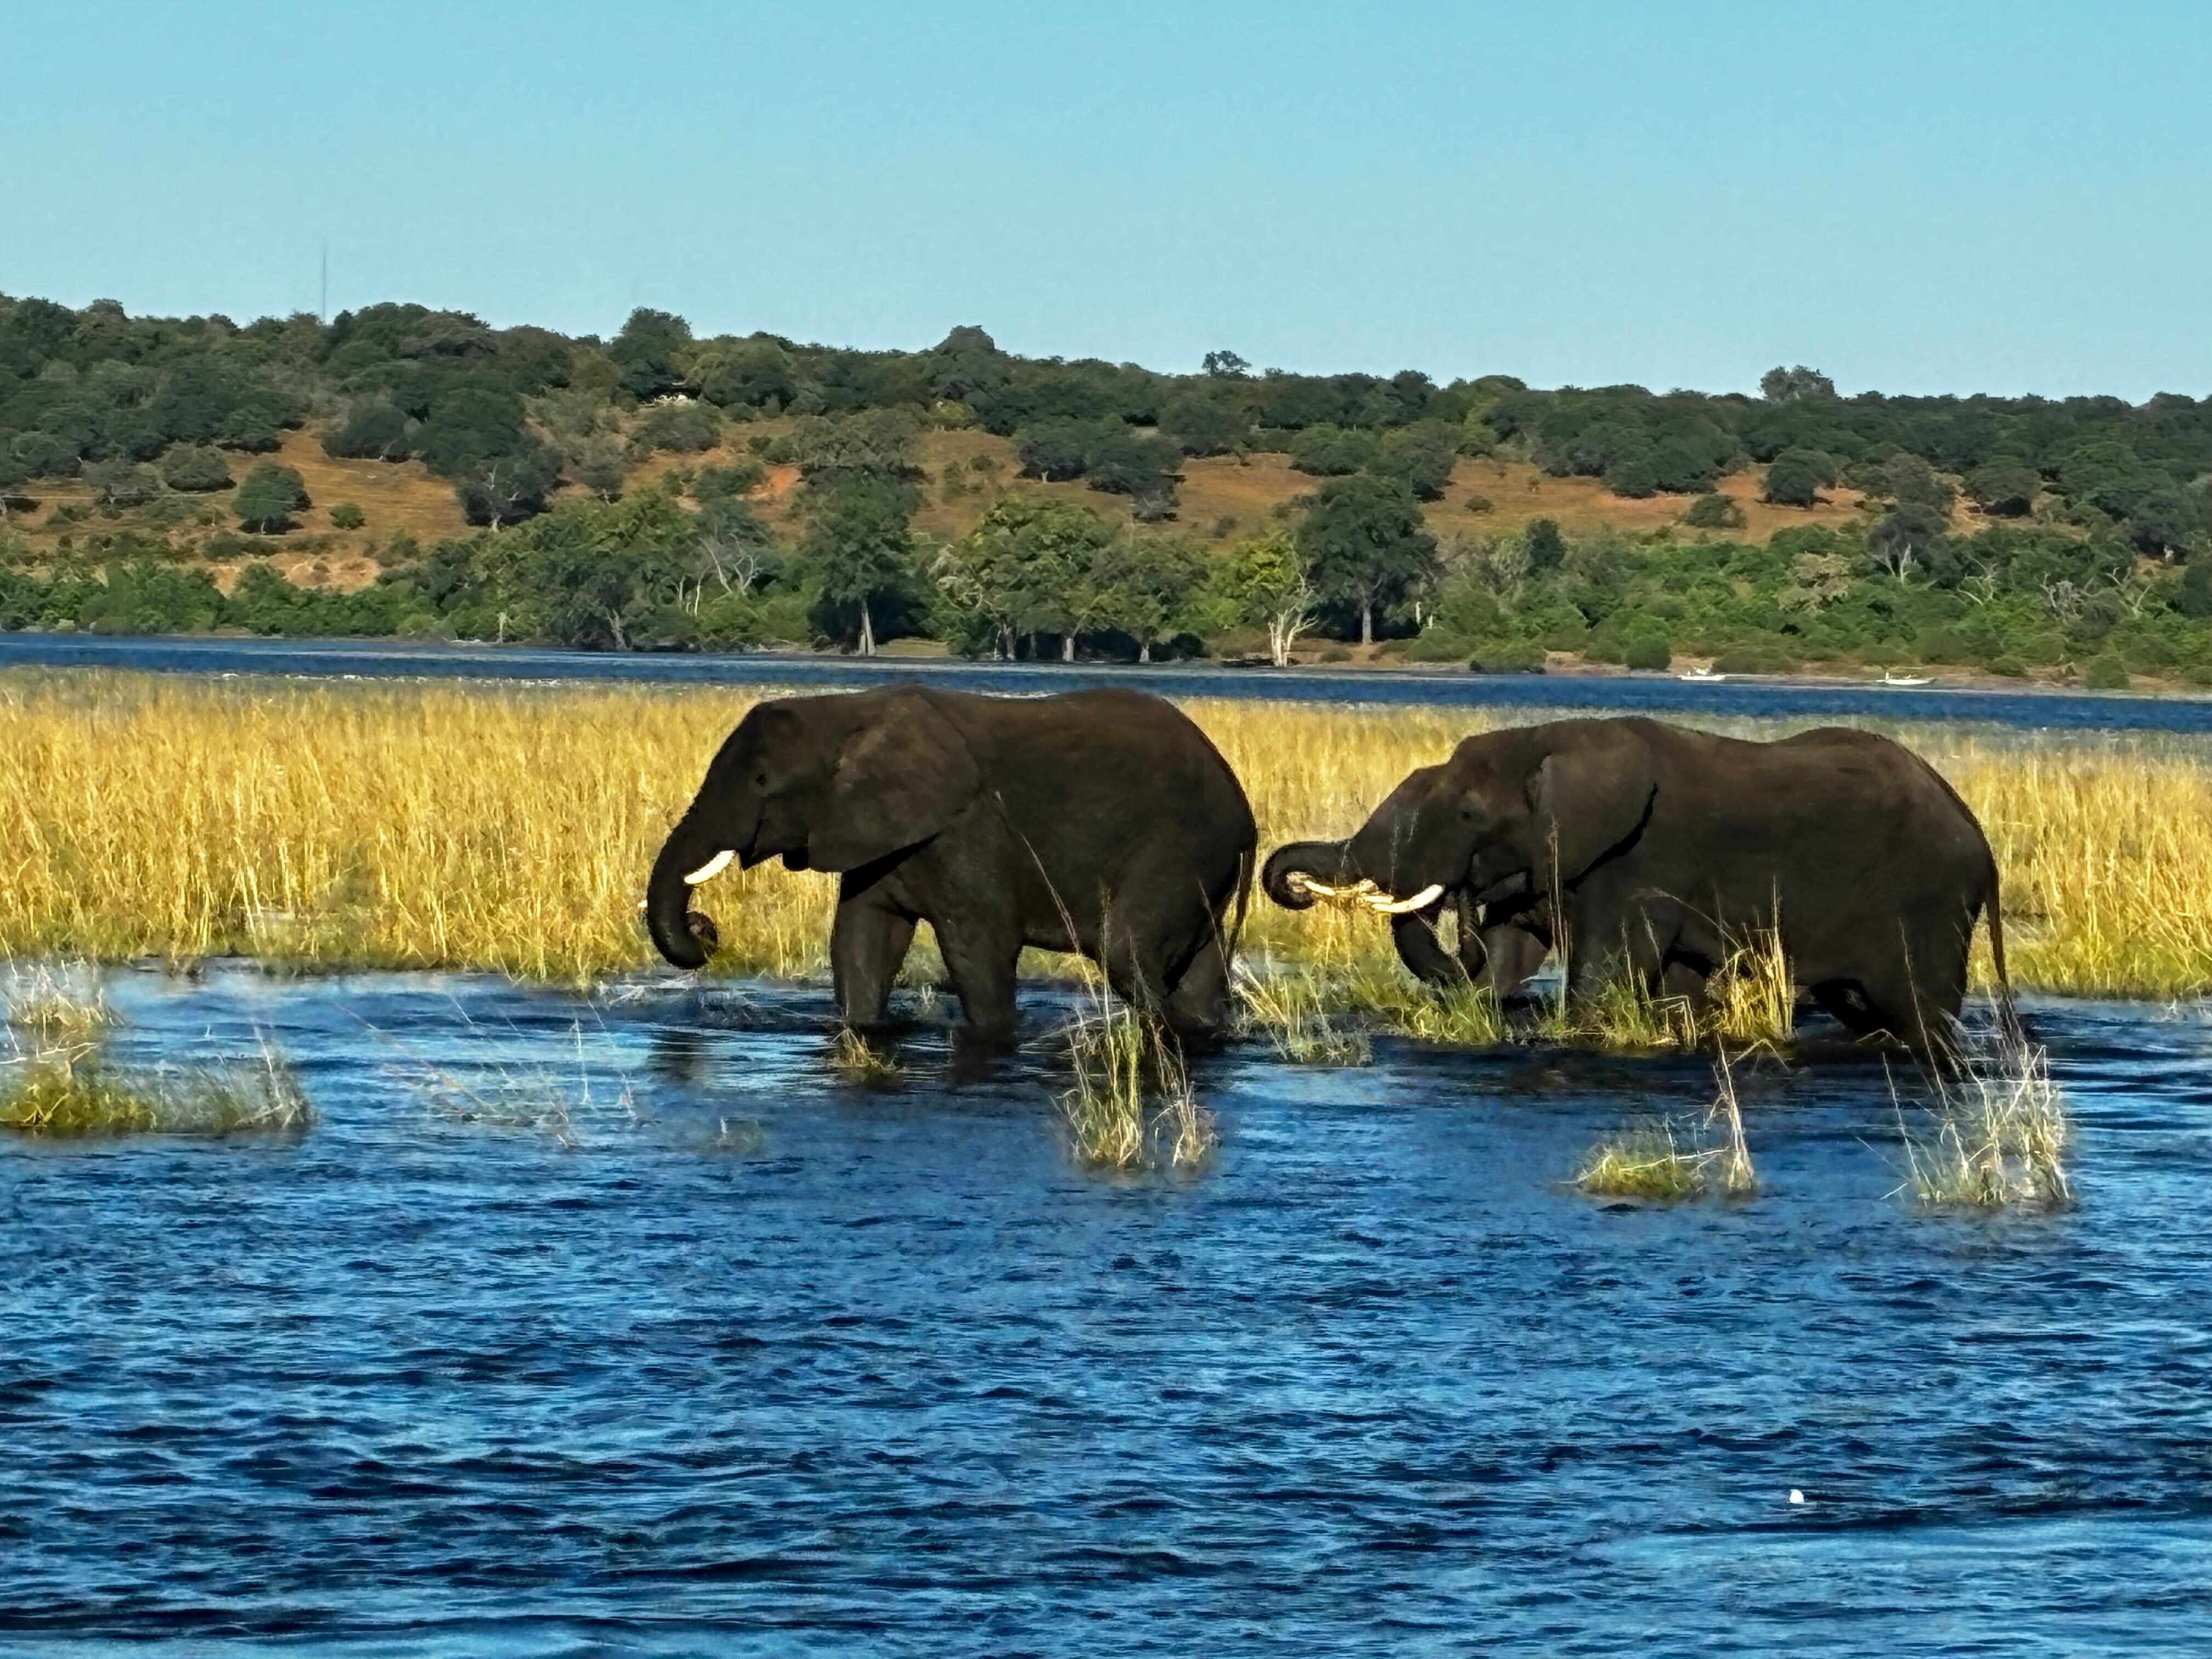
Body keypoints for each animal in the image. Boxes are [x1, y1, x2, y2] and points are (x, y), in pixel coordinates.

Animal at [645, 684, 1256, 1040]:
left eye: (762, 780)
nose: (705, 929)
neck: (844, 709)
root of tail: (1241, 807)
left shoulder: (969, 829)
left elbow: (978, 948)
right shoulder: (876, 832)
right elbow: (862, 938)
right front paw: (861, 1028)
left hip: (1181, 845)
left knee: (1127, 952)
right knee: (1196, 972)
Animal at [1262, 717, 2013, 1052]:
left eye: (1470, 815)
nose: (1296, 889)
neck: (1553, 741)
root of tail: (1981, 841)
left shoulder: (1643, 857)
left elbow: (1609, 964)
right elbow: (1513, 951)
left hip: (1930, 900)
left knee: (1918, 1004)